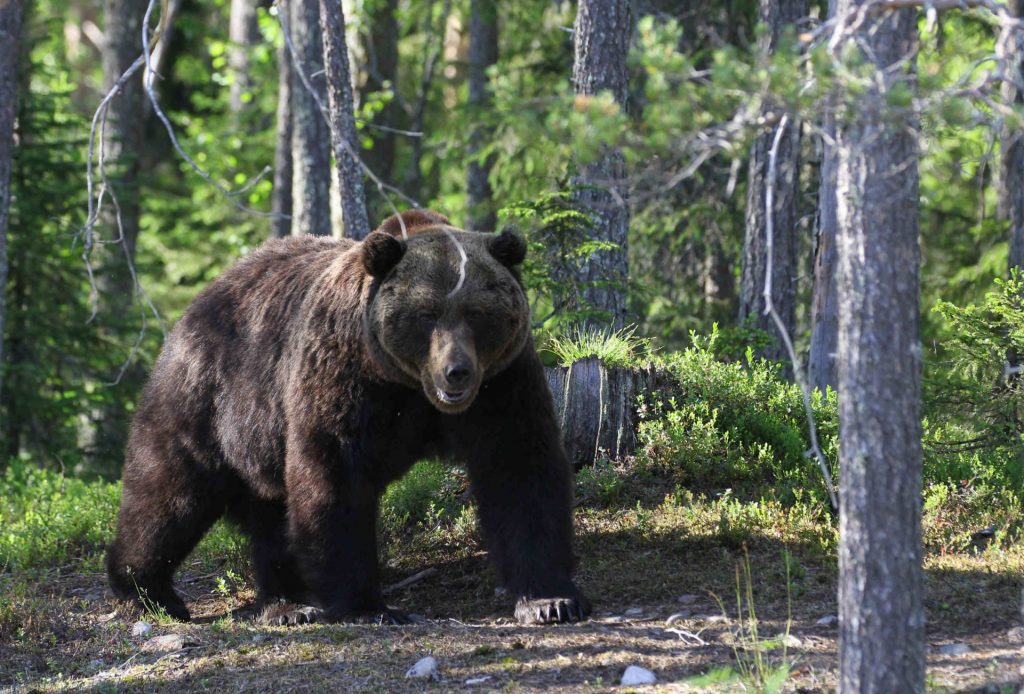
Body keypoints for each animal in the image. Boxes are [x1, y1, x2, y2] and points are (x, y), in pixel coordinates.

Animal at [106, 210, 590, 626]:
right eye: (427, 313)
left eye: (477, 312)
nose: (457, 371)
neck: (409, 385)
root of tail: (198, 301)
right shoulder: (344, 377)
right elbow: (335, 475)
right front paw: (368, 605)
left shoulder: (502, 386)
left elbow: (519, 469)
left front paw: (549, 599)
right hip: (207, 401)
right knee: (169, 495)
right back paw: (149, 592)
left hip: (262, 442)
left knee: (271, 519)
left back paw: (288, 603)